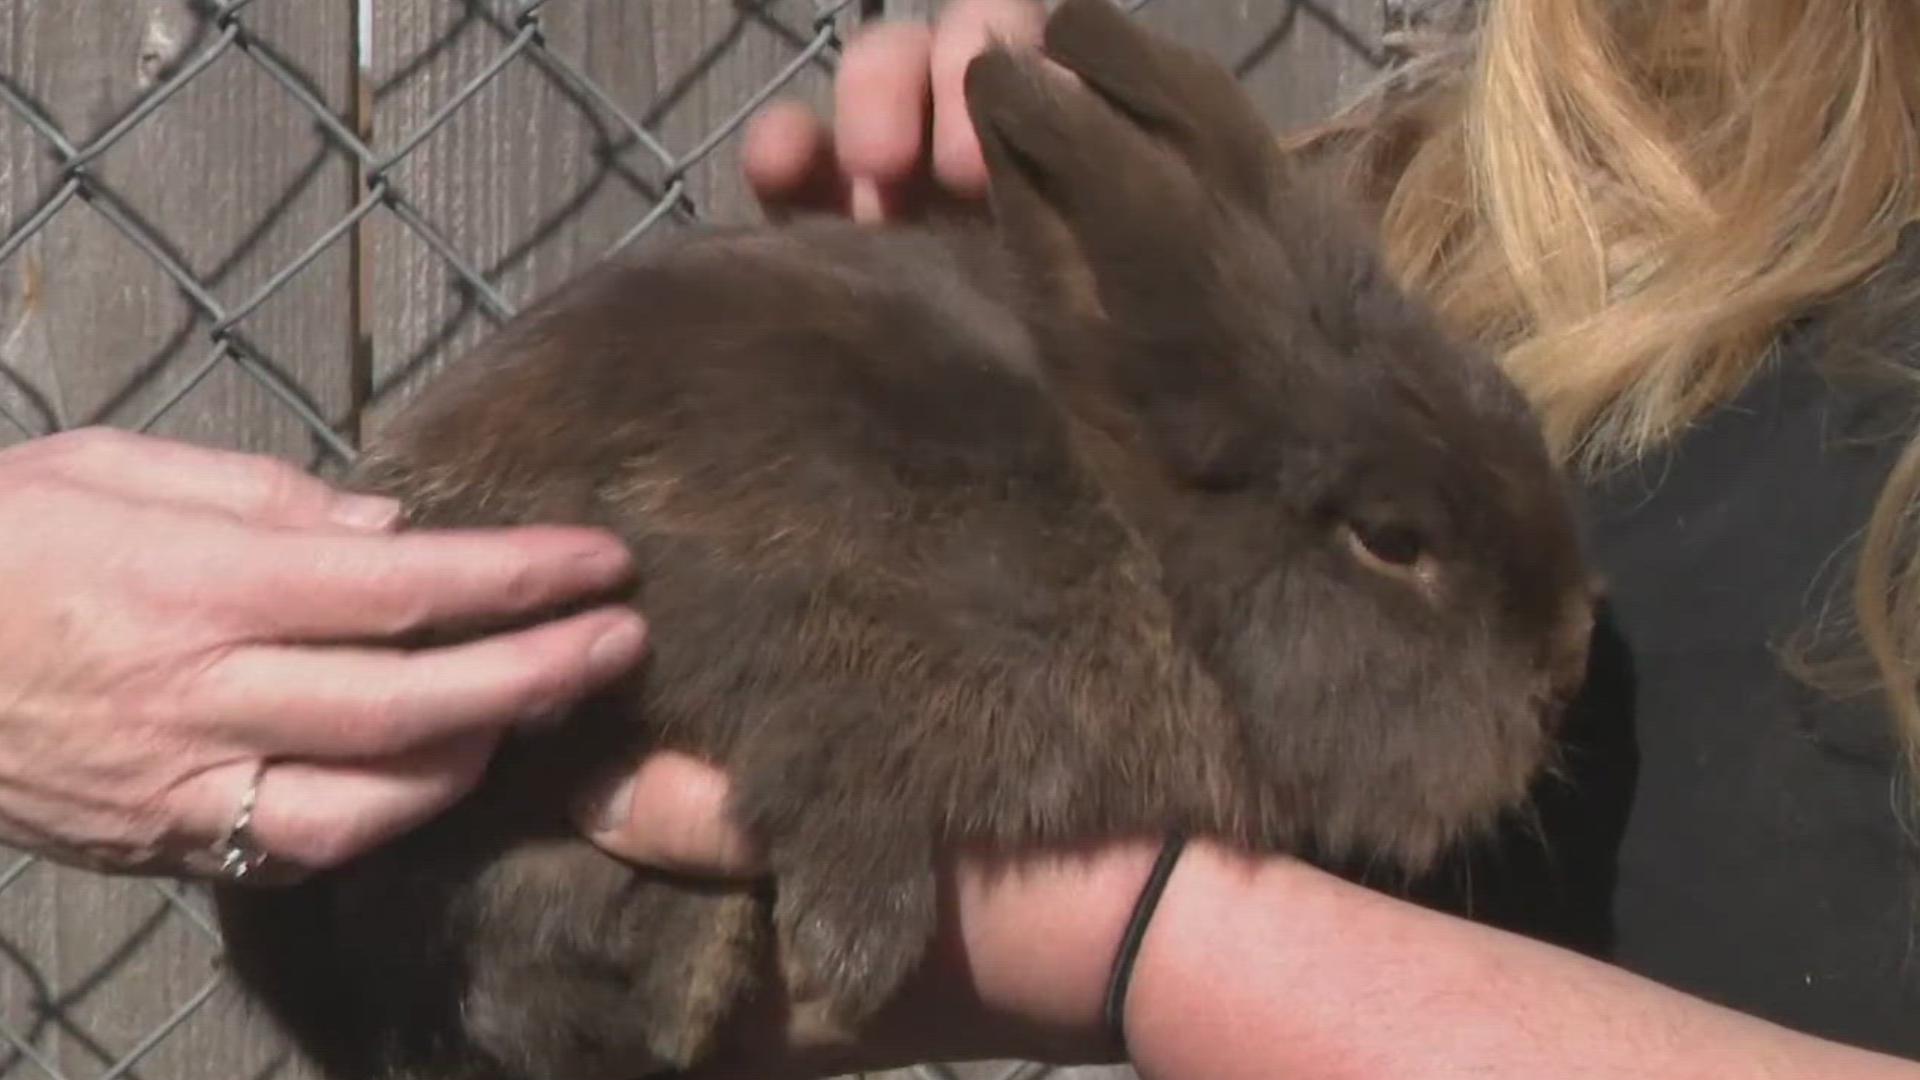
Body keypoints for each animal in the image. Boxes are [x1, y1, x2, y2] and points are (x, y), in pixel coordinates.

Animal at [210, 4, 1597, 1068]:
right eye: (1392, 538)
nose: (1572, 656)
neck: (1142, 553)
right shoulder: (781, 632)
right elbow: (838, 768)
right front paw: (847, 960)